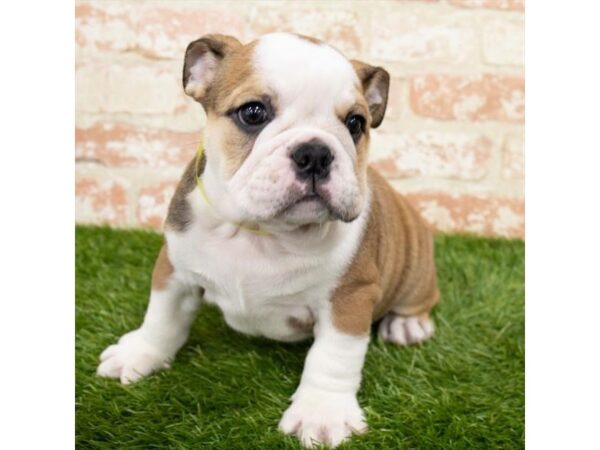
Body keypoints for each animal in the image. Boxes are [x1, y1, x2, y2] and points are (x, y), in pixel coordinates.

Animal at [97, 33, 436, 448]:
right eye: (253, 113)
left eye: (356, 123)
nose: (315, 152)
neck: (261, 230)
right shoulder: (174, 269)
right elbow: (163, 317)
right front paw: (140, 353)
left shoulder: (349, 298)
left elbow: (333, 357)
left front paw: (321, 414)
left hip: (415, 269)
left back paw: (407, 326)